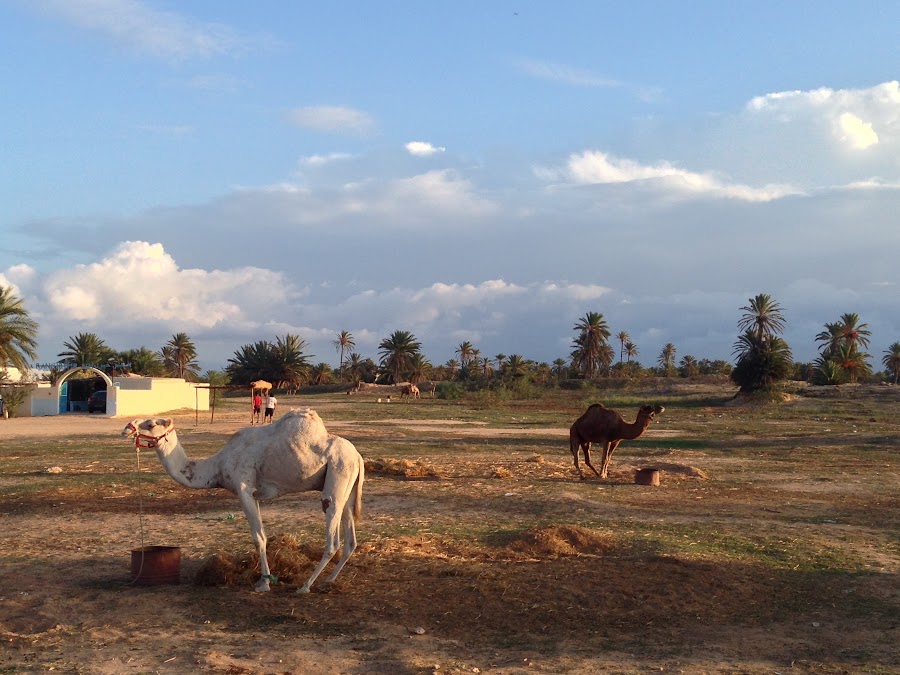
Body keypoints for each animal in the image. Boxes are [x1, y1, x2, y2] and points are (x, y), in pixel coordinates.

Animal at [121, 406, 364, 592]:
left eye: (151, 424)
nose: (126, 428)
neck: (217, 466)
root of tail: (359, 457)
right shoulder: (254, 494)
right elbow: (262, 536)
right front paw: (265, 580)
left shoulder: (243, 489)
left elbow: (258, 539)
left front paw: (263, 584)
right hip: (348, 488)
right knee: (351, 539)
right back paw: (328, 580)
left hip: (336, 479)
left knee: (333, 540)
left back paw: (305, 586)